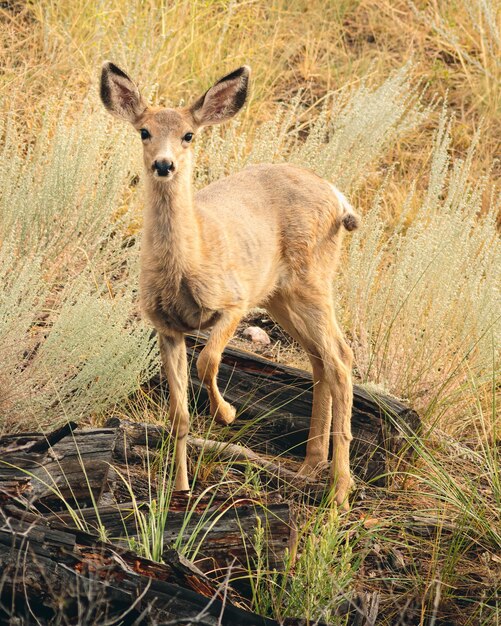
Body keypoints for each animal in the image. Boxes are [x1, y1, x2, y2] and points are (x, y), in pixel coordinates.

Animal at [101, 61, 360, 508]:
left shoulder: (233, 303)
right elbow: (178, 415)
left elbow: (207, 361)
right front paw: (180, 488)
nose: (164, 165)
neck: (188, 262)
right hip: (280, 296)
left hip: (311, 281)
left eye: (189, 134)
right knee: (319, 360)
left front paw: (227, 414)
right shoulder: (165, 326)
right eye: (144, 131)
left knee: (341, 359)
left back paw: (340, 491)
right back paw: (311, 466)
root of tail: (338, 196)